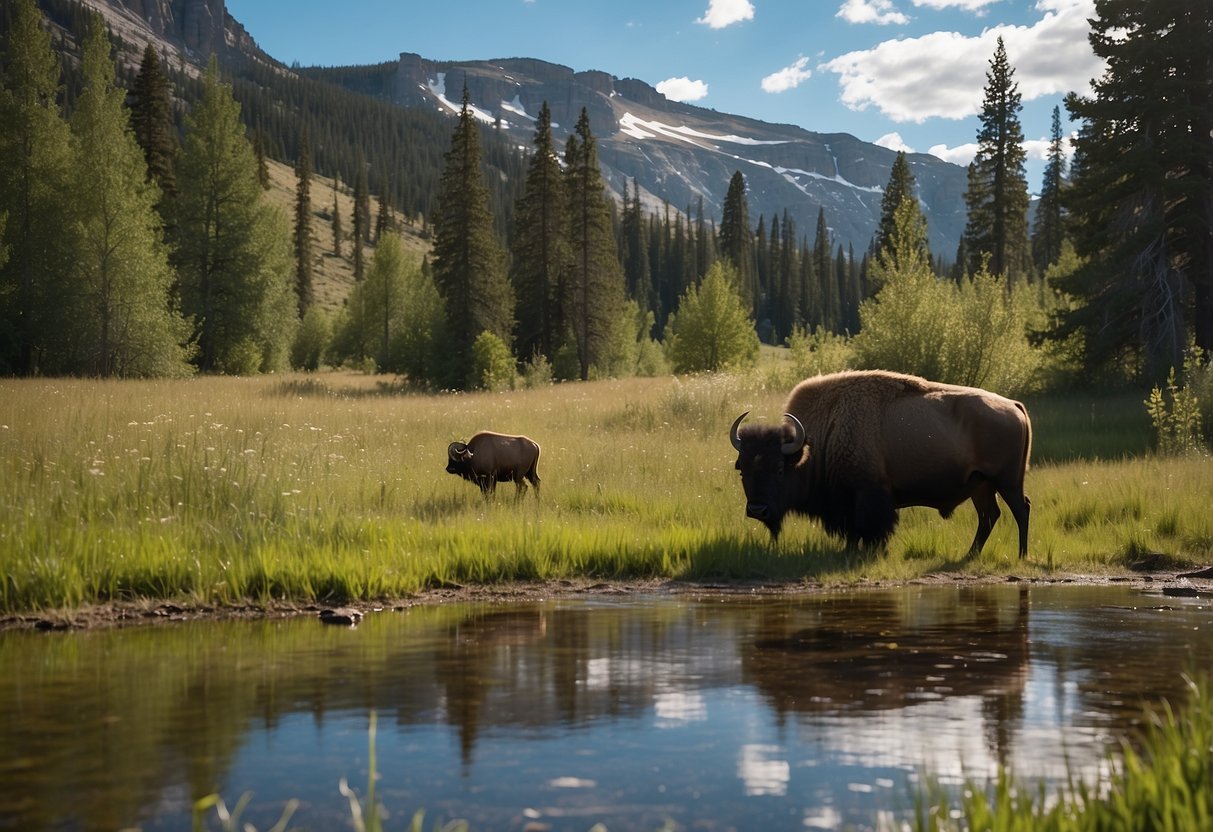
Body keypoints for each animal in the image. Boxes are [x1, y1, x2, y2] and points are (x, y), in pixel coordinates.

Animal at [727, 371, 1033, 560]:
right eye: (743, 468)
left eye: (780, 469)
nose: (757, 510)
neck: (824, 433)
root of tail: (1013, 405)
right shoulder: (846, 502)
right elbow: (853, 531)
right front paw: (850, 551)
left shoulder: (868, 494)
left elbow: (870, 527)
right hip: (981, 485)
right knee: (989, 516)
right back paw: (970, 555)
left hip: (1007, 482)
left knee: (1021, 509)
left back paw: (1021, 555)